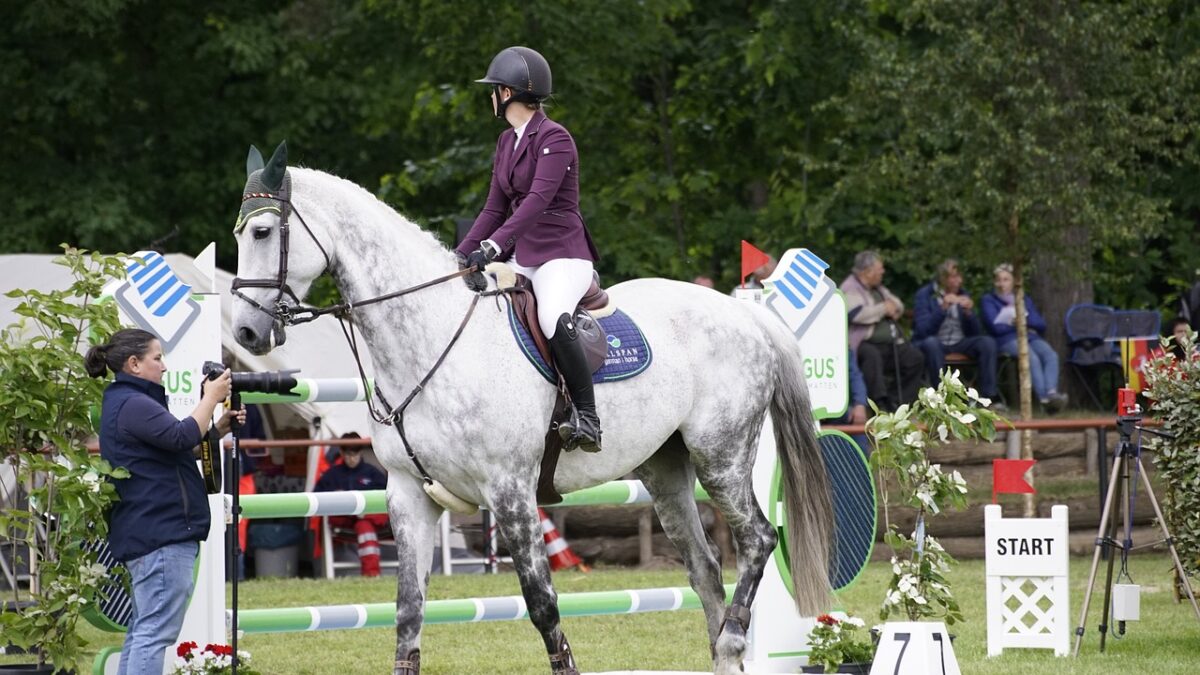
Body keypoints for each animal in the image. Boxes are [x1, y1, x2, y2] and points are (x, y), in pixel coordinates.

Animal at [226, 142, 835, 672]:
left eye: (262, 231)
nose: (246, 332)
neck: (431, 337)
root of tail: (744, 312)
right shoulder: (407, 494)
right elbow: (408, 614)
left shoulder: (510, 491)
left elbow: (542, 605)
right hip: (665, 469)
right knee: (705, 568)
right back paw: (724, 652)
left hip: (721, 455)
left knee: (757, 538)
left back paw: (733, 640)